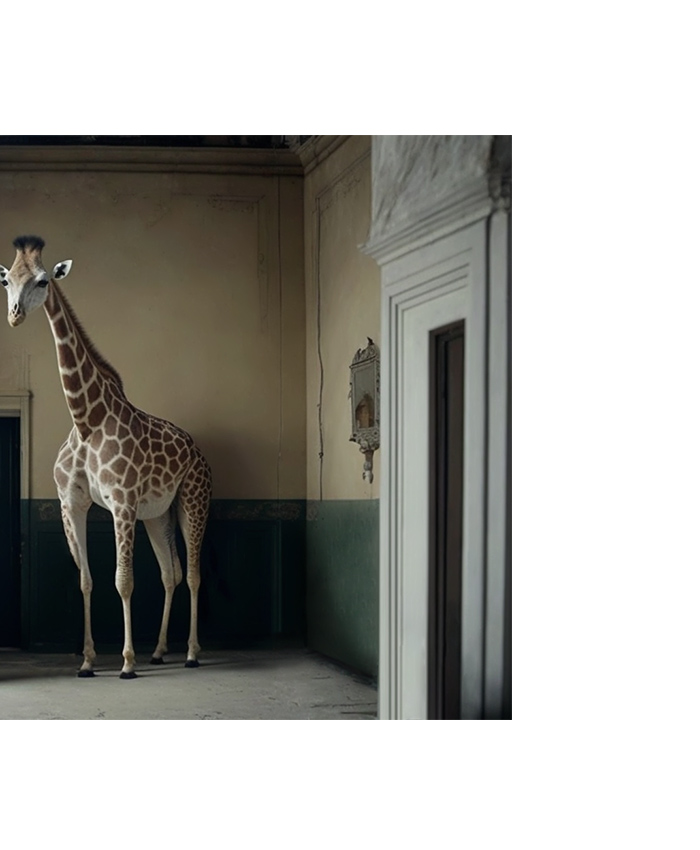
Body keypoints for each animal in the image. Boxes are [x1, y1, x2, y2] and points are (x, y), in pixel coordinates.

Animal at [0, 235, 212, 679]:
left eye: (43, 280)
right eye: (6, 280)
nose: (13, 317)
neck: (86, 419)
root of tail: (197, 449)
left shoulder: (122, 503)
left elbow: (123, 580)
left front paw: (127, 663)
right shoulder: (72, 503)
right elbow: (86, 579)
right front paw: (86, 660)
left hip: (193, 501)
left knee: (194, 574)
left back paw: (190, 653)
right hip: (158, 513)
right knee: (171, 573)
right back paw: (160, 651)